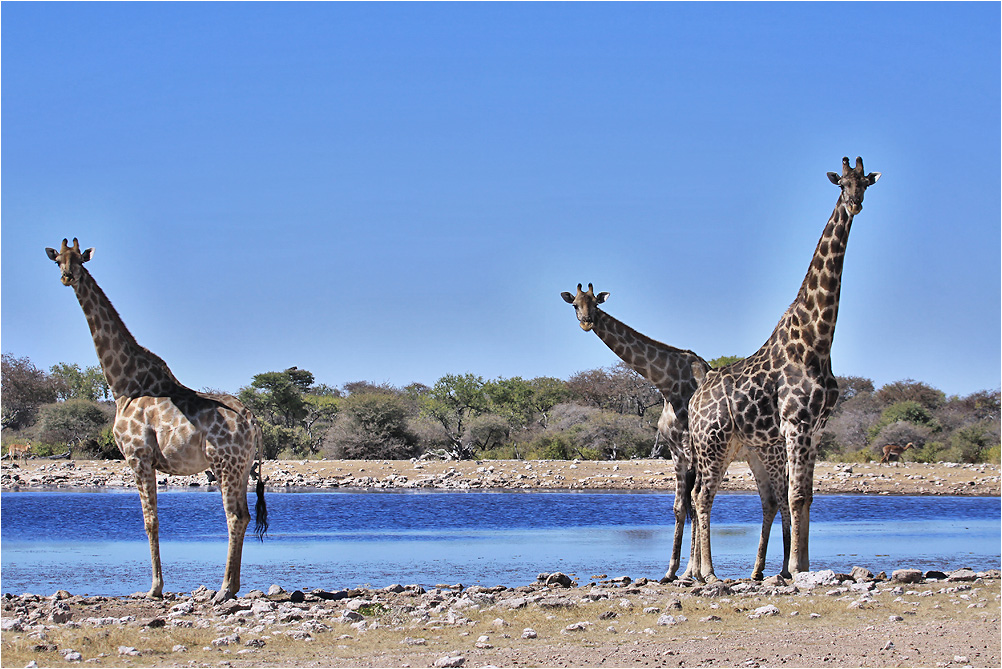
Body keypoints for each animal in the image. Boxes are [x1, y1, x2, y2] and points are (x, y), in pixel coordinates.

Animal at [45, 239, 268, 600]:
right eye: (58, 261)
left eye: (79, 260)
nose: (67, 277)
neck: (123, 384)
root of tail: (252, 421)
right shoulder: (145, 459)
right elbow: (155, 521)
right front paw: (156, 586)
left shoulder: (138, 456)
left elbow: (150, 521)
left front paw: (154, 588)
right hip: (243, 465)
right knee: (246, 515)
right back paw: (232, 587)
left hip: (225, 464)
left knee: (234, 517)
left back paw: (223, 589)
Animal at [557, 282, 789, 580]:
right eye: (575, 304)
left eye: (595, 304)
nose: (586, 322)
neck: (667, 383)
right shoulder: (675, 450)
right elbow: (681, 508)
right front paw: (672, 571)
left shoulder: (693, 448)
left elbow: (694, 503)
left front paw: (694, 571)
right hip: (751, 454)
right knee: (769, 500)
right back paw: (758, 570)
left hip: (767, 451)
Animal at [689, 157, 877, 580]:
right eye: (841, 183)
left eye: (865, 183)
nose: (855, 204)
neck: (816, 341)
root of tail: (693, 400)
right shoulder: (796, 424)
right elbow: (795, 495)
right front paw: (794, 567)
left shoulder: (816, 429)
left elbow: (806, 496)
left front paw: (803, 566)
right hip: (712, 443)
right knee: (702, 495)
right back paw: (708, 572)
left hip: (739, 447)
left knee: (711, 495)